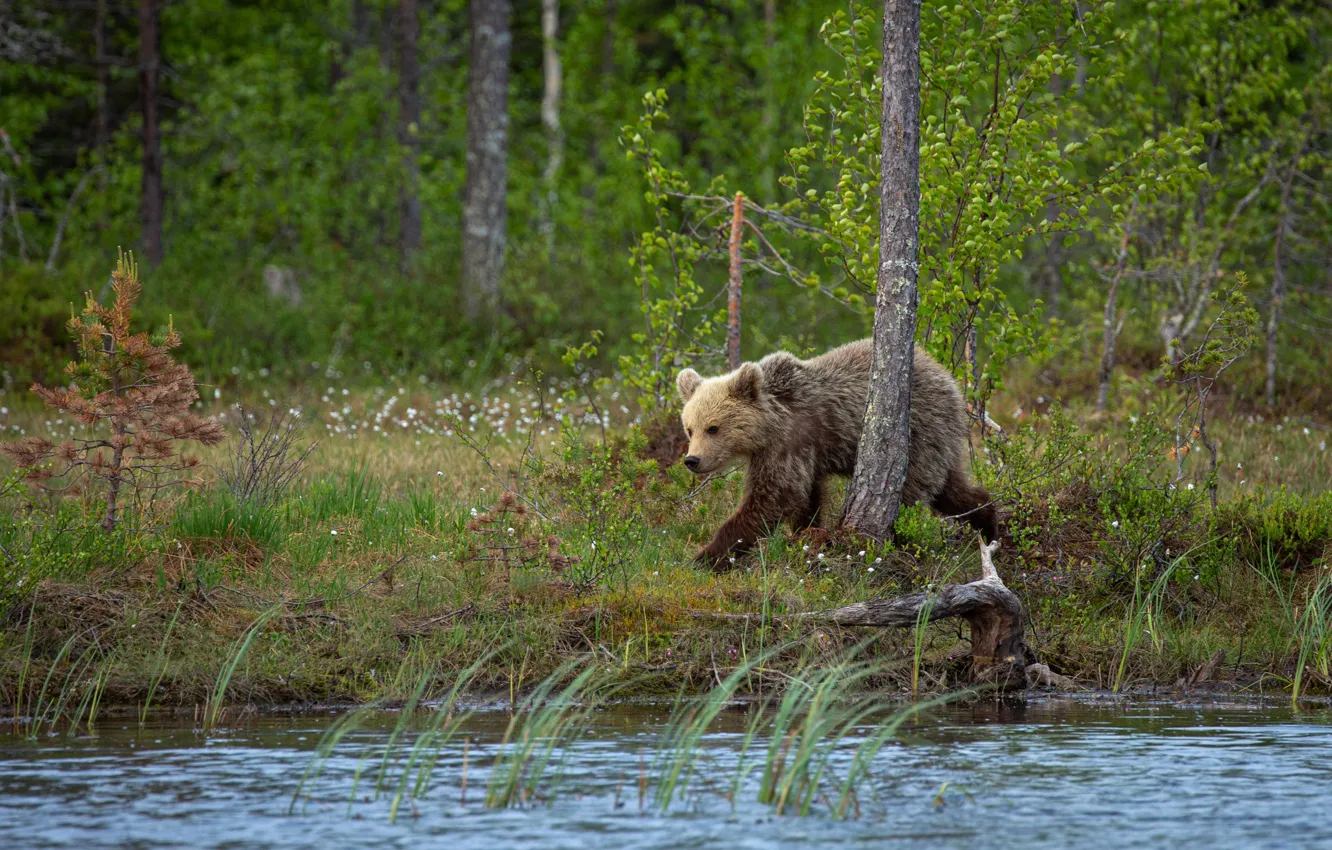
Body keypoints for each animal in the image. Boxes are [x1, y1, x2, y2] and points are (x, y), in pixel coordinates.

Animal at [675, 338, 997, 570]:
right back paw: (990, 523)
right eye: (690, 429)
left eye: (713, 428)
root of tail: (950, 380)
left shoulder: (789, 443)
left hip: (920, 434)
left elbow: (774, 498)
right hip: (937, 444)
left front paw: (705, 556)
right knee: (951, 490)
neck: (769, 425)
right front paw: (805, 534)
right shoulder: (801, 454)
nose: (692, 460)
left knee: (911, 497)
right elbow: (805, 498)